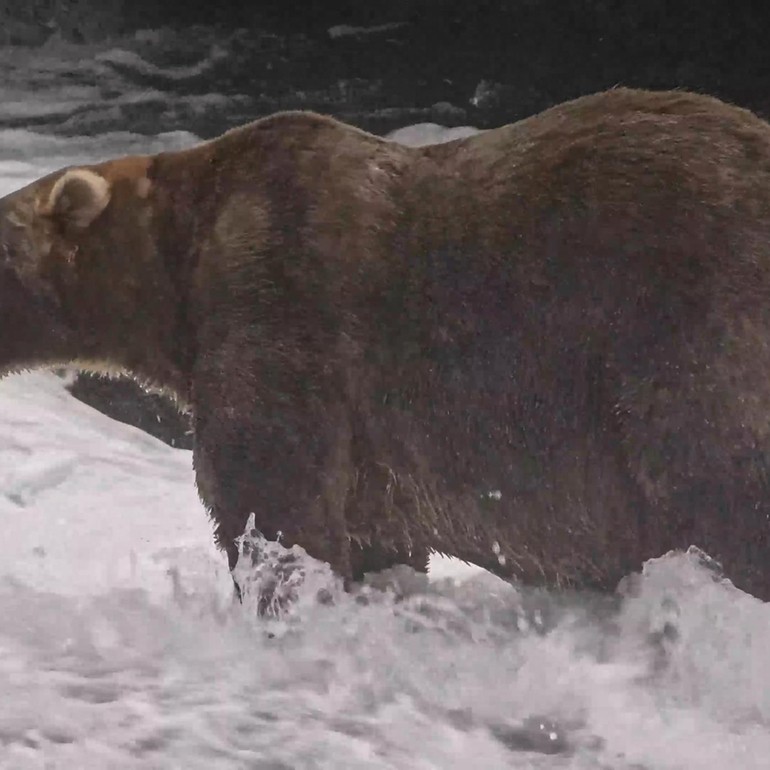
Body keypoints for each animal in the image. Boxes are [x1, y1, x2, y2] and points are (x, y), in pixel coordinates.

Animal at [3, 86, 770, 600]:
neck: (176, 267)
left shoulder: (277, 300)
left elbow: (271, 495)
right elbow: (371, 530)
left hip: (686, 319)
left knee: (716, 472)